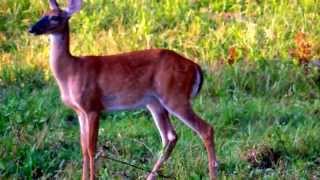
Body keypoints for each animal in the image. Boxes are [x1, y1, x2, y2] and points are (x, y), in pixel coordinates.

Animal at [28, 0, 218, 179]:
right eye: (43, 13)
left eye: (55, 17)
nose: (31, 29)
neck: (71, 71)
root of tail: (195, 67)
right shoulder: (79, 111)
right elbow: (83, 149)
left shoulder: (93, 106)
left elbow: (91, 149)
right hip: (155, 103)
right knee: (171, 136)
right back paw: (150, 176)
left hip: (175, 95)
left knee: (206, 129)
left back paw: (213, 172)